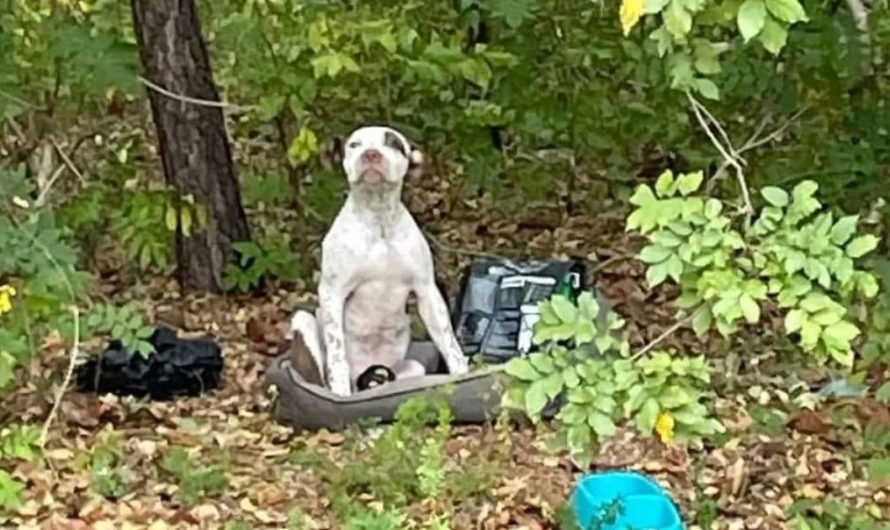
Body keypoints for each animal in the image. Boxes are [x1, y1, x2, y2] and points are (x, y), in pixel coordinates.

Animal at [294, 126, 472, 394]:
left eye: (394, 143)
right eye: (354, 145)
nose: (371, 154)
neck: (378, 220)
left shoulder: (427, 291)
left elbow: (450, 344)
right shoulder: (332, 291)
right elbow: (337, 355)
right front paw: (340, 392)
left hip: (411, 369)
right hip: (303, 321)